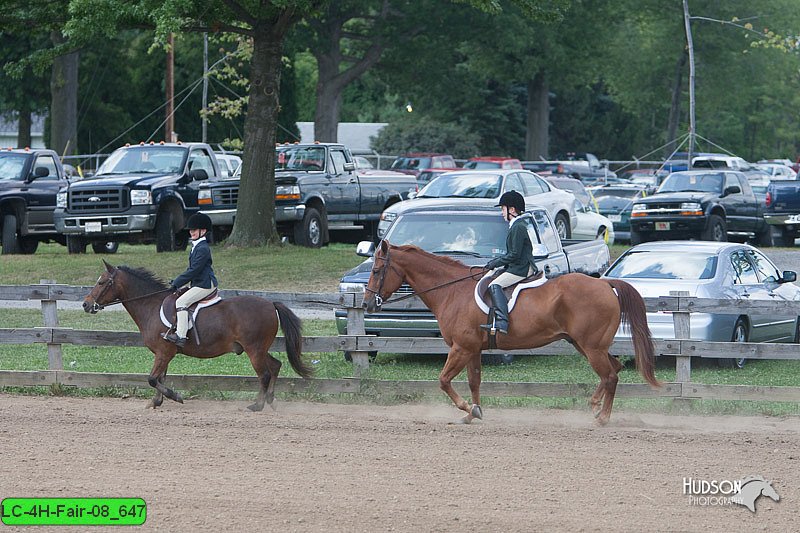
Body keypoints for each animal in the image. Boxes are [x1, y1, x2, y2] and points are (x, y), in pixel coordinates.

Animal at [83, 260, 312, 410]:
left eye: (102, 282)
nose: (85, 304)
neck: (151, 305)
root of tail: (270, 304)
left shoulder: (164, 352)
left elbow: (152, 379)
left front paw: (175, 396)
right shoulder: (163, 353)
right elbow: (159, 377)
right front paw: (156, 402)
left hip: (254, 349)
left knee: (264, 374)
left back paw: (257, 405)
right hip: (260, 349)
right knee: (275, 366)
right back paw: (271, 401)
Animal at [366, 241, 660, 424]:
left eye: (377, 270)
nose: (368, 304)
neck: (452, 290)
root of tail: (605, 283)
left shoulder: (460, 347)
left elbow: (443, 380)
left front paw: (467, 409)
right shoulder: (472, 349)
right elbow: (474, 381)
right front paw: (473, 413)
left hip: (591, 347)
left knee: (610, 375)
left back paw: (603, 417)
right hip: (585, 344)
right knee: (614, 370)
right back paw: (596, 407)